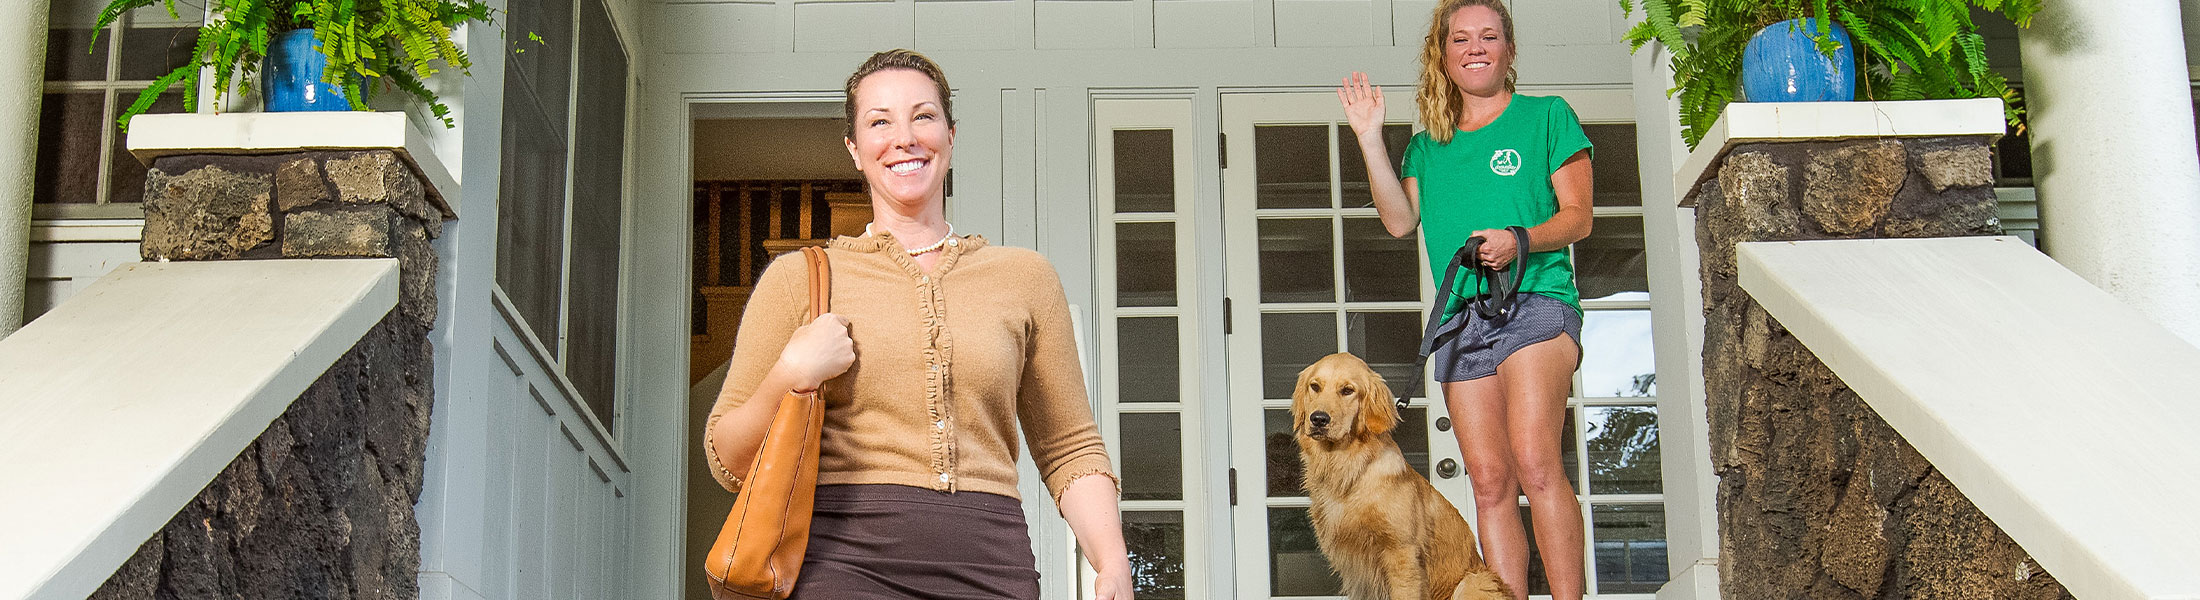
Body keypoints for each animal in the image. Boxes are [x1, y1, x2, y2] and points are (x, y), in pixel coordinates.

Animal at [1284, 349, 1513, 597]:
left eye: (1347, 390)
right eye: (1315, 386)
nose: (1318, 419)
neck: (1349, 471)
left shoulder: (1402, 553)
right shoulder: (1354, 568)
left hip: (1475, 580)